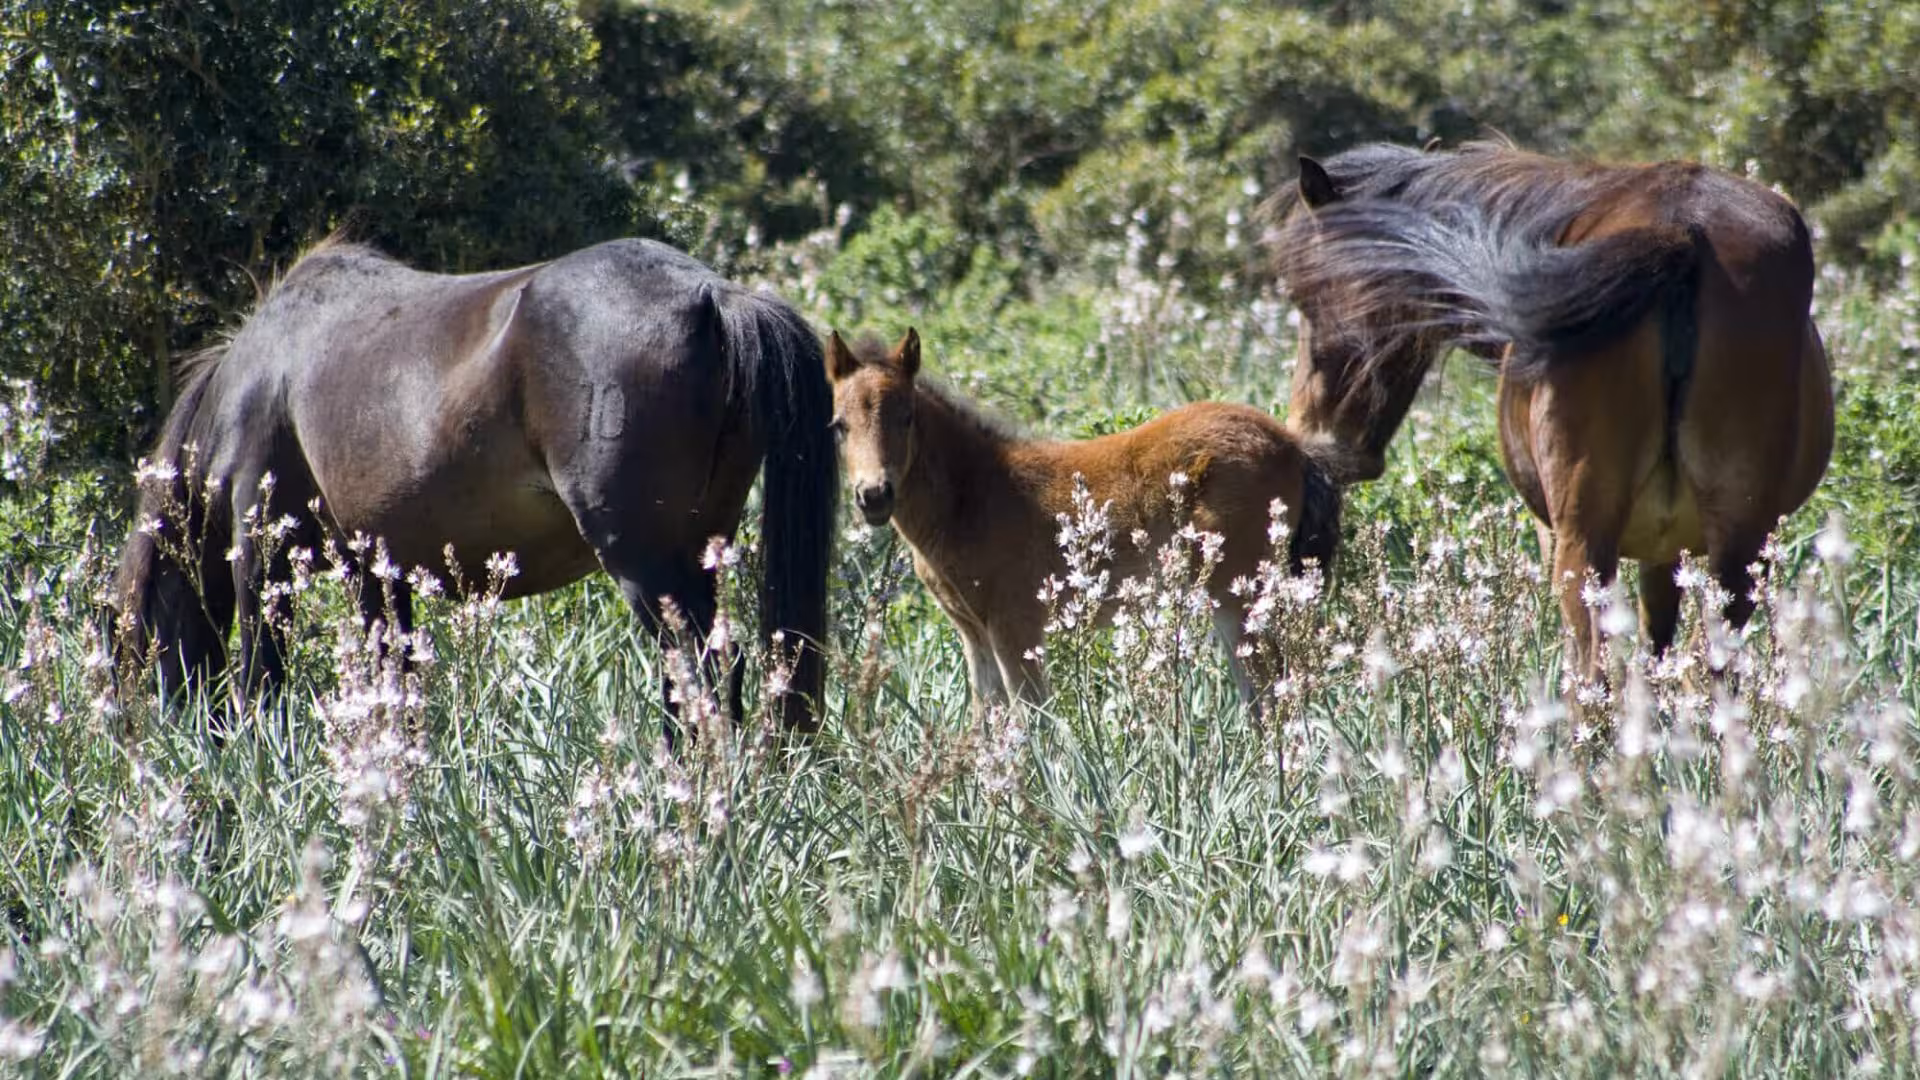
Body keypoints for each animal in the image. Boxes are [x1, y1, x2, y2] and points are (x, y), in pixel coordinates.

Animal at [114, 236, 837, 733]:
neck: (253, 384)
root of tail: (712, 296)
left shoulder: (262, 560)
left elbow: (260, 680)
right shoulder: (378, 576)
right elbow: (393, 681)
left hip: (646, 564)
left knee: (700, 673)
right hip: (699, 553)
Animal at [825, 328, 1341, 714]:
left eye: (907, 417)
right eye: (838, 426)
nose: (874, 495)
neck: (974, 497)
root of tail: (1294, 446)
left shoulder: (1016, 625)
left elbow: (1032, 723)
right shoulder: (973, 633)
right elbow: (986, 724)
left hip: (1240, 593)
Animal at [1270, 141, 1834, 679]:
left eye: (1303, 295)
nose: (1311, 435)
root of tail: (1681, 232)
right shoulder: (1665, 552)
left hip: (1584, 544)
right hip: (1735, 548)